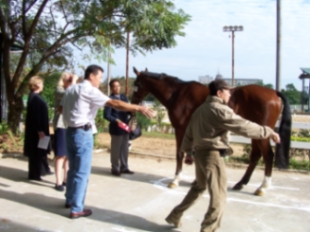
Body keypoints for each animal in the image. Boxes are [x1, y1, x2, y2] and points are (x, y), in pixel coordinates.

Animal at [131, 67, 290, 196]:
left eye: (136, 84)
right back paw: (241, 183)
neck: (178, 93)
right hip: (254, 132)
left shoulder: (180, 129)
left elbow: (180, 154)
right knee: (256, 155)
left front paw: (176, 180)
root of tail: (274, 92)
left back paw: (263, 187)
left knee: (268, 155)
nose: (133, 101)